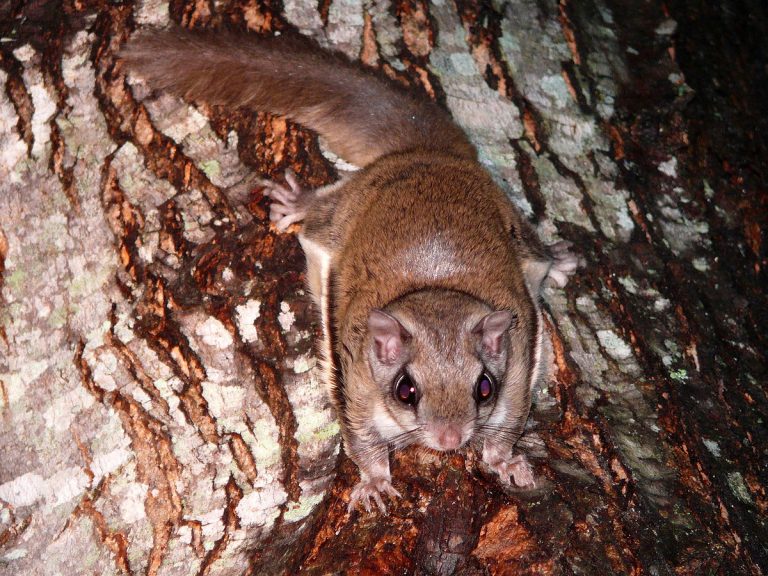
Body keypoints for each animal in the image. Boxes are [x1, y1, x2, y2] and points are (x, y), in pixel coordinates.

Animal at [121, 28, 579, 513]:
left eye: (485, 388)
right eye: (406, 390)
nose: (450, 439)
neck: (436, 286)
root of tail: (426, 155)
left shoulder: (517, 372)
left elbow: (506, 427)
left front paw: (505, 461)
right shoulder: (355, 380)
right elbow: (362, 440)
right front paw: (375, 482)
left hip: (516, 229)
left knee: (537, 254)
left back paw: (559, 259)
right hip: (342, 212)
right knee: (322, 213)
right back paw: (298, 202)